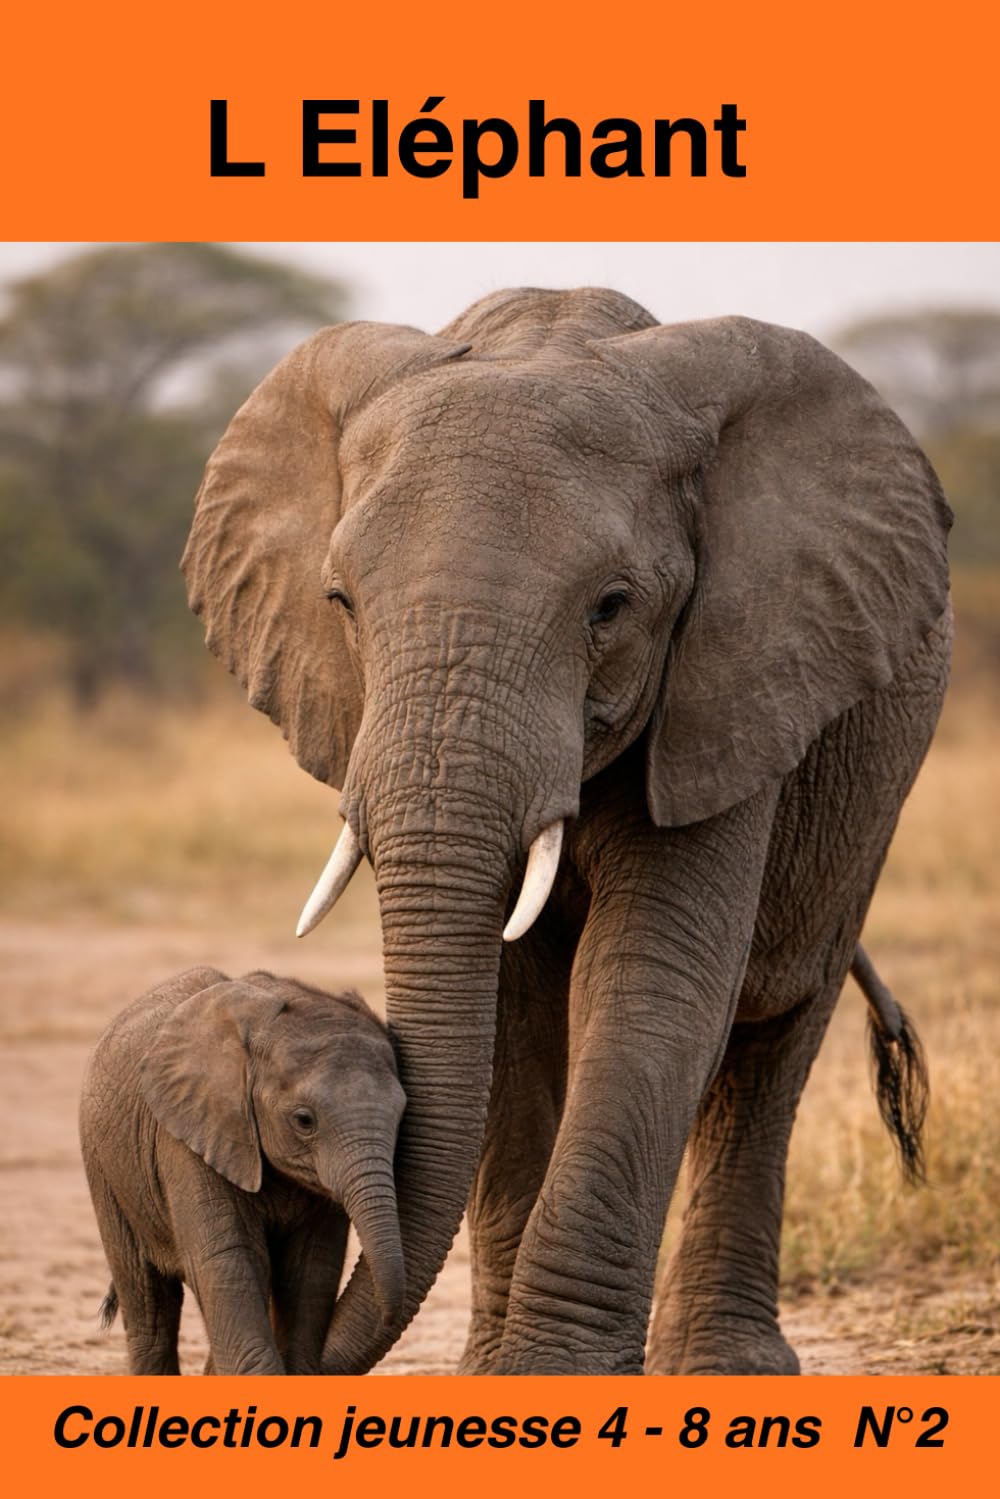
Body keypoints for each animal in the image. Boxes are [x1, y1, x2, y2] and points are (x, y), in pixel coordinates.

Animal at [79, 967, 406, 1374]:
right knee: (147, 1304)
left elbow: (312, 1268)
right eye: (304, 1120)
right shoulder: (189, 1135)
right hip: (104, 1167)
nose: (389, 1316)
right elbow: (229, 1260)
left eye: (402, 1115)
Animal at [182, 286, 951, 1375]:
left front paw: (553, 1372)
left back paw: (726, 1365)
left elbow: (654, 976)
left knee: (774, 1026)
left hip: (867, 785)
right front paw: (493, 1376)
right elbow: (509, 1005)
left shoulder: (729, 687)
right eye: (340, 603)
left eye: (610, 607)